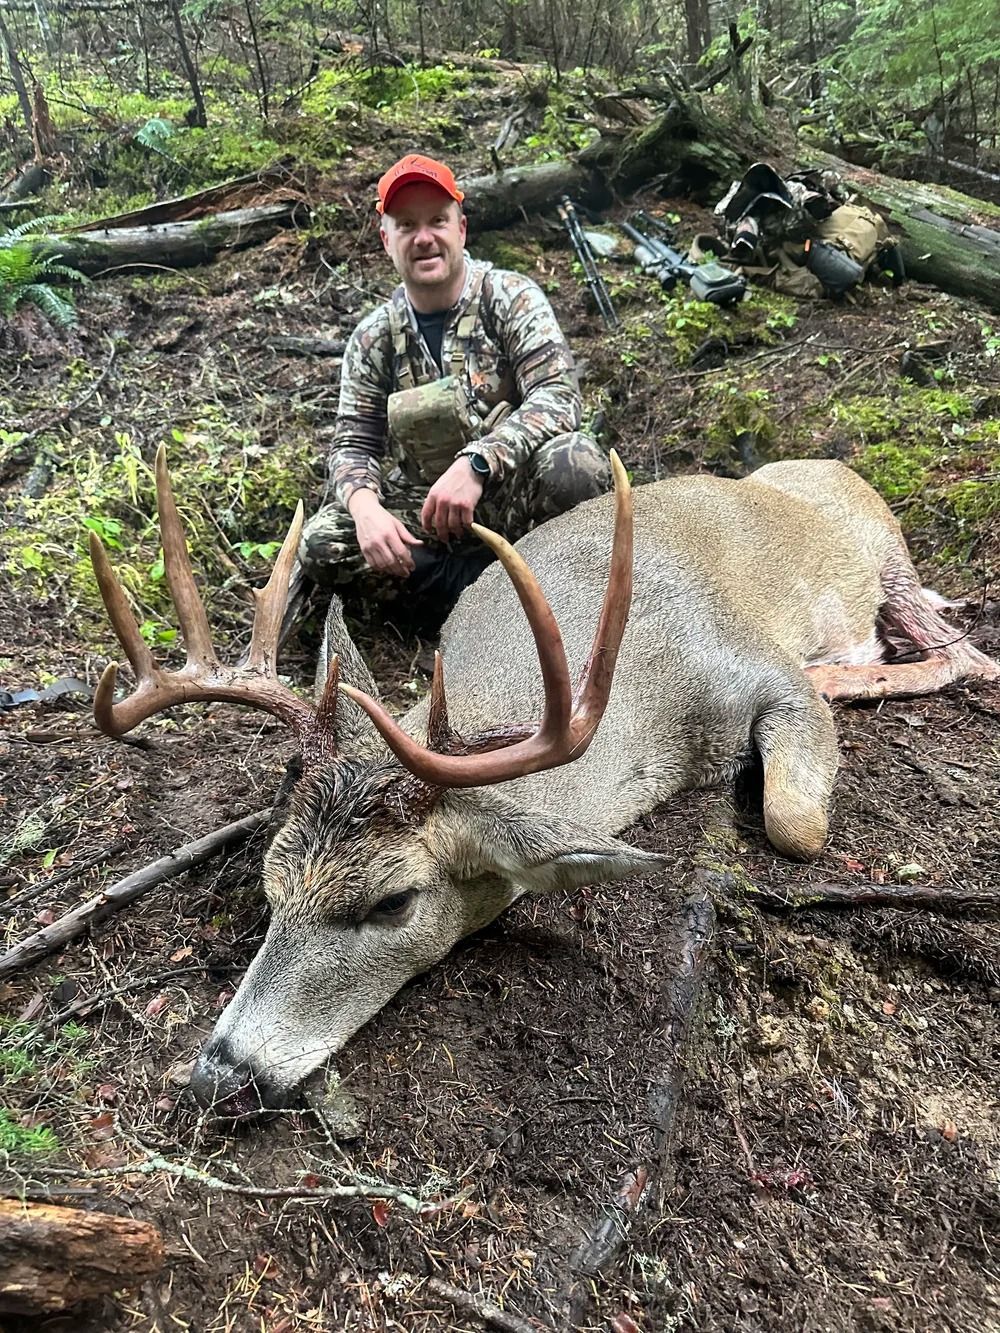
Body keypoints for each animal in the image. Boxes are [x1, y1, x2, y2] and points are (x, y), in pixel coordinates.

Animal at [88, 445, 998, 1116]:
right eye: (271, 882)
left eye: (393, 902)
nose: (218, 1075)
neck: (648, 705)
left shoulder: (759, 668)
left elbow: (794, 824)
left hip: (889, 563)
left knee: (964, 655)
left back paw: (852, 669)